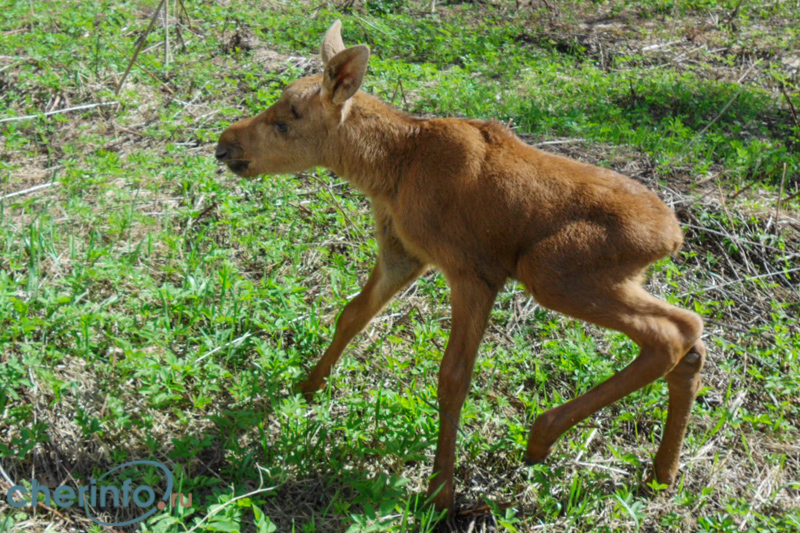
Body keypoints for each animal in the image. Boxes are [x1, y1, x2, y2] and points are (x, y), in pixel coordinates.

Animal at [214, 21, 708, 512]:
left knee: (675, 331)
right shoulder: (403, 255)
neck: (387, 170)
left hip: (550, 271)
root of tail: (672, 237)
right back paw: (662, 471)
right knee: (690, 343)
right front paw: (308, 387)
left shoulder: (474, 272)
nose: (224, 144)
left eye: (286, 119)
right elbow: (352, 314)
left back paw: (542, 437)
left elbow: (453, 378)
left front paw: (440, 491)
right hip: (608, 280)